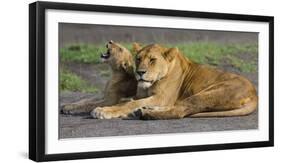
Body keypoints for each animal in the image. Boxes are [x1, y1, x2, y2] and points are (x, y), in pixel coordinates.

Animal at [91, 43, 256, 119]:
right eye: (138, 59)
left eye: (152, 60)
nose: (140, 72)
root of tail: (255, 93)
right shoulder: (143, 96)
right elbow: (127, 102)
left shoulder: (162, 98)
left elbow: (128, 103)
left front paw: (103, 111)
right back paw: (144, 110)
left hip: (207, 94)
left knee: (180, 110)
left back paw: (144, 113)